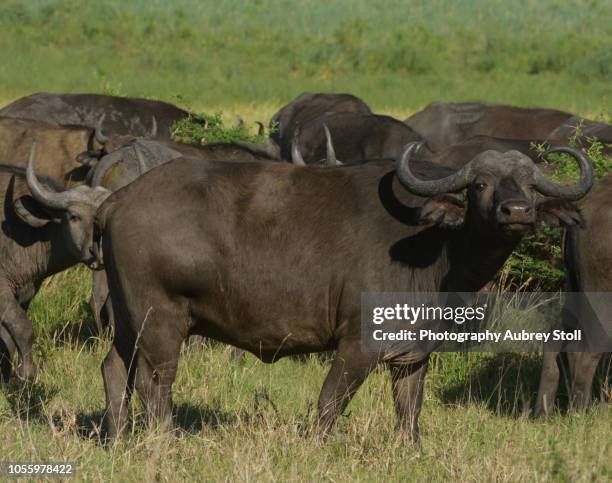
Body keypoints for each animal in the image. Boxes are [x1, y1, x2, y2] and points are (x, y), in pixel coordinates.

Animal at [536, 173, 612, 416]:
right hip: (601, 297)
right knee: (586, 352)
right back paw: (580, 412)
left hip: (573, 289)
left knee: (554, 340)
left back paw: (543, 411)